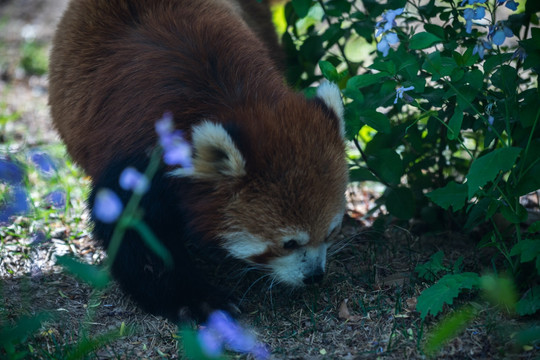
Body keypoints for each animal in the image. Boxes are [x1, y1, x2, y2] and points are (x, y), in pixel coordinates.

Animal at [48, 0, 348, 320]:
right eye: (289, 243)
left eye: (331, 231)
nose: (314, 275)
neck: (232, 100)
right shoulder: (138, 157)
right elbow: (135, 229)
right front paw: (196, 300)